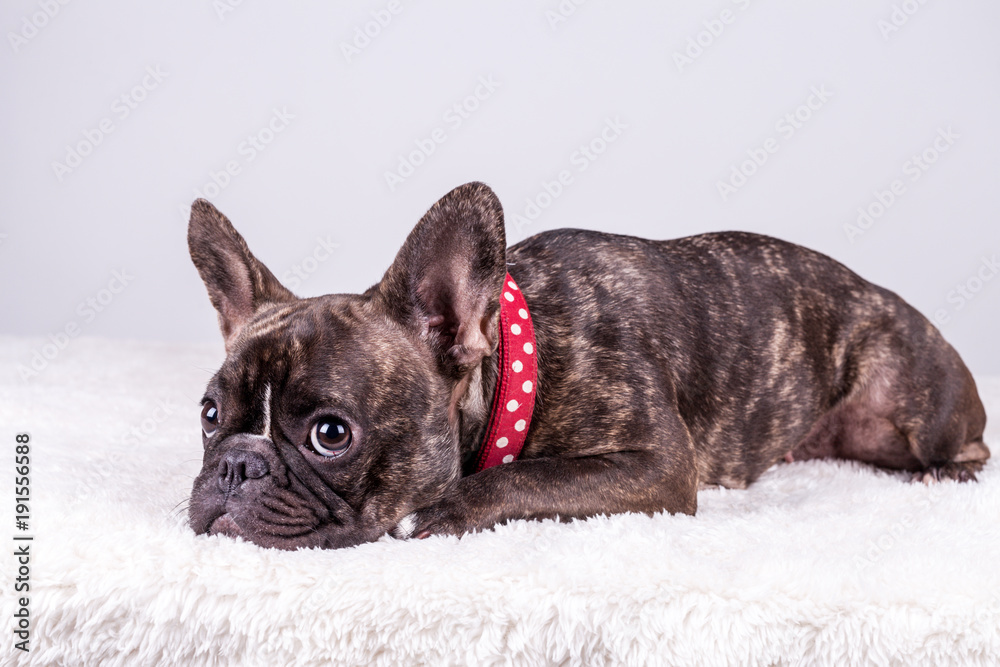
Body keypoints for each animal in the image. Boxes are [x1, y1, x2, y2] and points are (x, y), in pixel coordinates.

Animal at [184, 181, 988, 548]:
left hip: (911, 402)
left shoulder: (657, 465)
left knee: (966, 446)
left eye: (331, 433)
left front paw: (441, 510)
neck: (517, 362)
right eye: (210, 414)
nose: (236, 464)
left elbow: (528, 476)